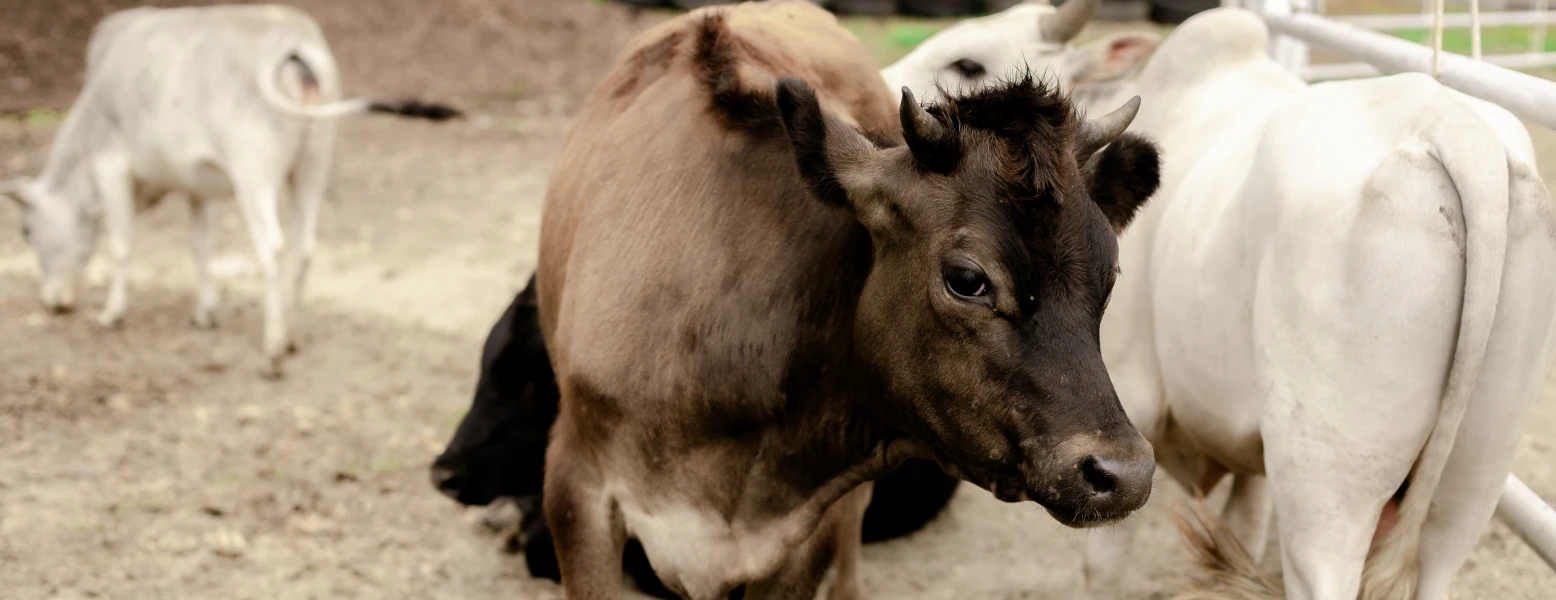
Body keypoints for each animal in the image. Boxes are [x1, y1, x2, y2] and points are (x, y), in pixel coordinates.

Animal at [0, 4, 459, 378]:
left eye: (25, 230)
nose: (52, 302)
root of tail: (293, 40)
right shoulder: (199, 185)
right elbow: (200, 245)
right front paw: (206, 312)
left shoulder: (110, 166)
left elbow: (121, 246)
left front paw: (112, 314)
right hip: (313, 163)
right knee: (304, 246)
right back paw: (291, 335)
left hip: (253, 173)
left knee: (273, 246)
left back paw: (273, 351)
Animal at [882, 5, 1556, 599]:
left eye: (969, 63)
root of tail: (1457, 131)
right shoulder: (1250, 459)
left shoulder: (1123, 421)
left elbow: (1104, 564)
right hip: (1471, 482)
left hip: (1325, 493)